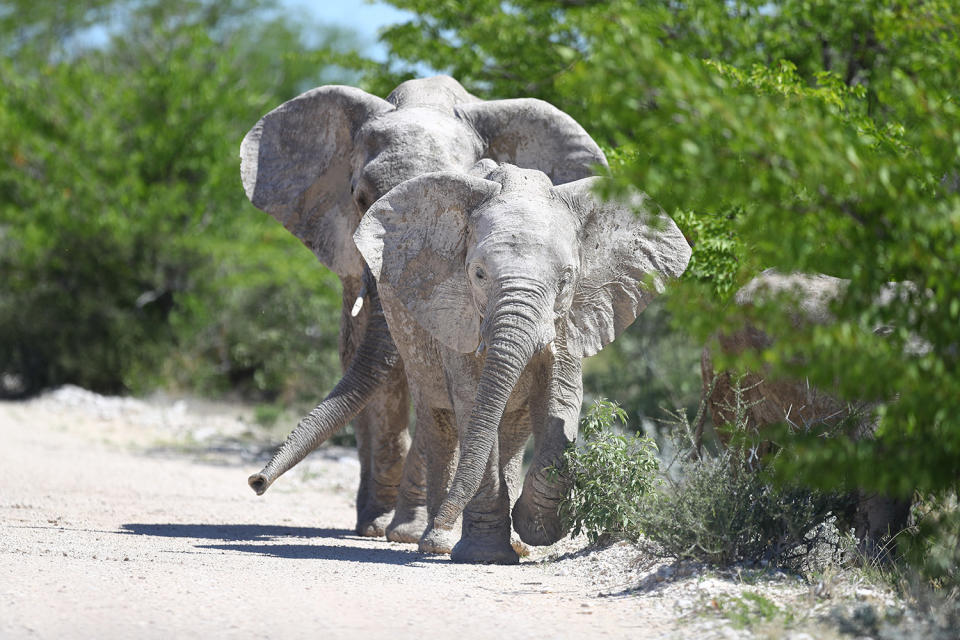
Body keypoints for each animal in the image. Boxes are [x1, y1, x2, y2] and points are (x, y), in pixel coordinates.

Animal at [352, 162, 688, 564]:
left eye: (565, 280)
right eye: (478, 274)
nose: (444, 524)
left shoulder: (571, 317)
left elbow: (561, 399)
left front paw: (535, 529)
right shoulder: (456, 312)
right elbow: (472, 405)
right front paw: (484, 555)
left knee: (512, 430)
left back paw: (514, 544)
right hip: (407, 330)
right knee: (439, 420)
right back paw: (437, 542)